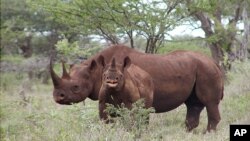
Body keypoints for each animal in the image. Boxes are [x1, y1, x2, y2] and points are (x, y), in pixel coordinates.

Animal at [49, 45, 224, 131]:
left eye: (76, 87)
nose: (58, 97)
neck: (96, 70)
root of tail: (214, 62)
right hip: (199, 69)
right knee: (193, 104)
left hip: (206, 70)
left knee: (210, 102)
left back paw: (208, 134)